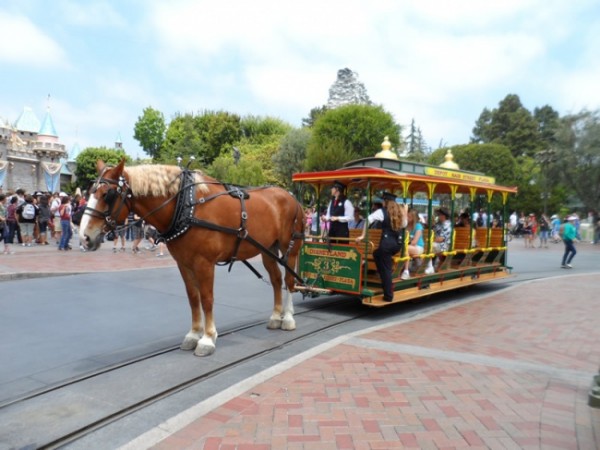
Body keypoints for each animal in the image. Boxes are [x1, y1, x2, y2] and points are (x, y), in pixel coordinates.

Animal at [79, 160, 304, 356]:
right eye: (90, 193)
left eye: (107, 194)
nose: (84, 237)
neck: (187, 205)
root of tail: (292, 197)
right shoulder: (184, 263)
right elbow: (193, 298)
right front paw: (194, 334)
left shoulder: (205, 263)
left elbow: (207, 298)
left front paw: (208, 339)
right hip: (268, 250)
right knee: (276, 280)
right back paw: (275, 316)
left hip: (290, 248)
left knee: (289, 281)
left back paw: (288, 318)